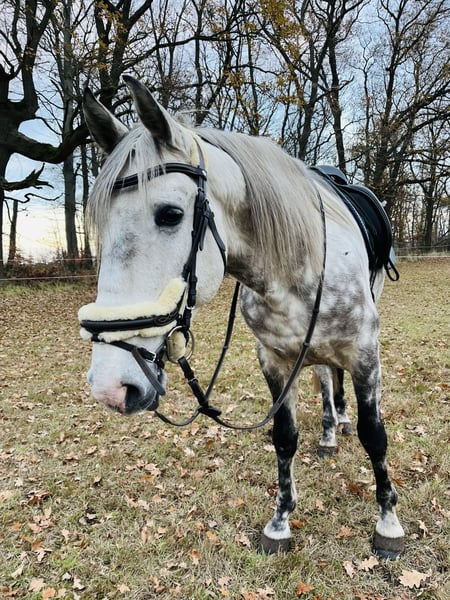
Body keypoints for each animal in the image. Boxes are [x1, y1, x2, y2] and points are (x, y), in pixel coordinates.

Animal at [79, 76, 405, 559]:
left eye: (171, 214)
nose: (110, 386)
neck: (298, 265)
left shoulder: (366, 354)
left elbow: (374, 435)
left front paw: (388, 523)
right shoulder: (273, 359)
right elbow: (284, 436)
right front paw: (281, 522)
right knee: (325, 376)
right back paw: (330, 431)